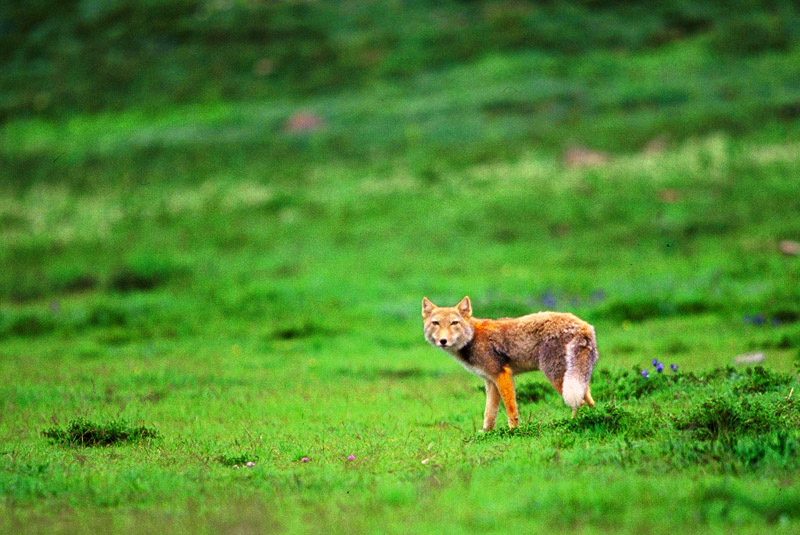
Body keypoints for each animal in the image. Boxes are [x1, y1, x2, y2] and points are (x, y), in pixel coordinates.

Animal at [422, 298, 596, 432]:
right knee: (589, 400)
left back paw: (573, 424)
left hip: (557, 377)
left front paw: (513, 431)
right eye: (436, 323)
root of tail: (583, 325)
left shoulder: (502, 375)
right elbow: (489, 414)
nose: (443, 341)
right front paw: (486, 434)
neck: (472, 338)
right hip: (576, 378)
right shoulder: (490, 381)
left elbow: (510, 408)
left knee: (579, 402)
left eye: (454, 323)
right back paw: (592, 417)